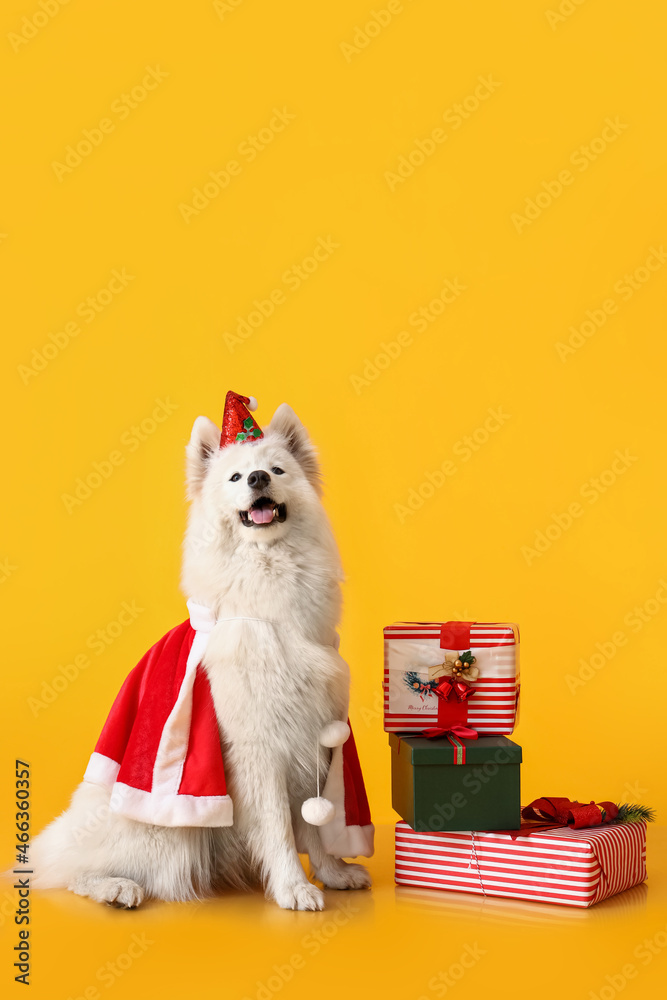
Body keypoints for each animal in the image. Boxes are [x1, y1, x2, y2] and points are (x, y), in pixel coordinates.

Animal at [31, 402, 370, 912]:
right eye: (235, 477)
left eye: (276, 470)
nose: (257, 478)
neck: (268, 596)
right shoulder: (259, 745)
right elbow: (278, 827)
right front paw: (293, 887)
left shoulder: (311, 734)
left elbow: (315, 822)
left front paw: (332, 873)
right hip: (160, 835)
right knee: (72, 872)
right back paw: (114, 888)